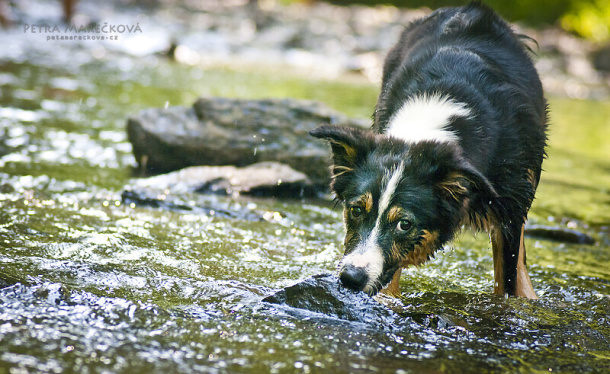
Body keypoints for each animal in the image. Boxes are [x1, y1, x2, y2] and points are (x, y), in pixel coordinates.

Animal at [312, 0, 544, 298]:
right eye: (356, 210)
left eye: (405, 224)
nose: (351, 278)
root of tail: (473, 9)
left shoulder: (509, 217)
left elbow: (508, 283)